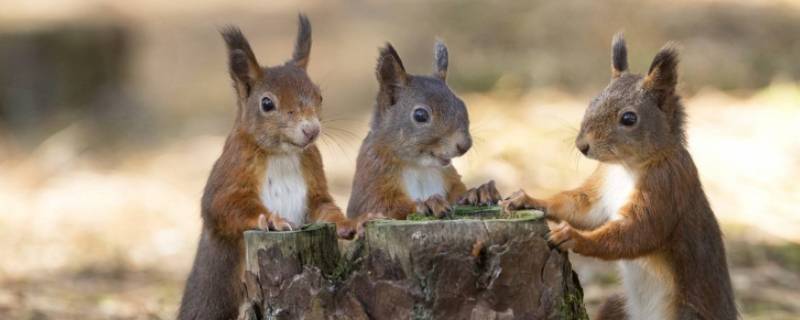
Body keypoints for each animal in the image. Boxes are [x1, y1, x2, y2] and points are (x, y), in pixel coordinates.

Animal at [178, 15, 366, 320]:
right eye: (267, 103)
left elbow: (324, 207)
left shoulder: (313, 176)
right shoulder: (230, 172)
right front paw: (272, 220)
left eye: (319, 96)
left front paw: (349, 223)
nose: (311, 130)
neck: (282, 155)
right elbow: (223, 205)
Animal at [346, 40, 500, 220]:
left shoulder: (450, 178)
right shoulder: (371, 182)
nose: (464, 145)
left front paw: (478, 192)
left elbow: (458, 195)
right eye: (420, 115)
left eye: (462, 105)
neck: (420, 167)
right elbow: (381, 208)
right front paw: (428, 203)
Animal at [500, 33, 736, 320]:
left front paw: (573, 237)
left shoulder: (666, 186)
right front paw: (528, 199)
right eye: (592, 101)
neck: (626, 168)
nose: (582, 145)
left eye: (629, 118)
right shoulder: (601, 188)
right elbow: (580, 207)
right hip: (617, 306)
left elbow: (637, 232)